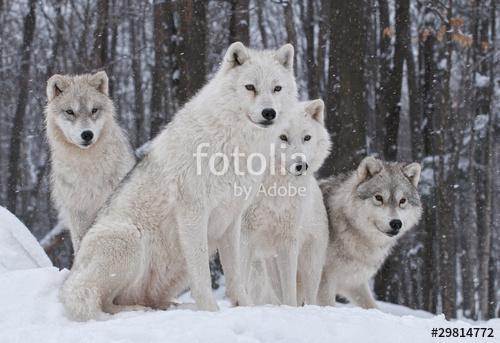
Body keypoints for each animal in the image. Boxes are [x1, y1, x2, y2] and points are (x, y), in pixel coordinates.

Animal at [60, 41, 298, 322]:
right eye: (250, 87)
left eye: (277, 88)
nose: (269, 113)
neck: (233, 143)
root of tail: (72, 276)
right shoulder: (193, 213)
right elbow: (203, 277)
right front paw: (211, 312)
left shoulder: (232, 219)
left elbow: (236, 275)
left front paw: (245, 307)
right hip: (129, 238)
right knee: (103, 301)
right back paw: (137, 311)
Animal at [243, 99, 332, 306]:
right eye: (282, 137)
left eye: (307, 137)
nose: (302, 166)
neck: (275, 188)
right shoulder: (244, 236)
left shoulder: (288, 241)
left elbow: (290, 291)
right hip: (267, 266)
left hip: (310, 265)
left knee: (308, 296)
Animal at [316, 157, 422, 310]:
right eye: (378, 198)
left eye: (402, 201)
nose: (396, 223)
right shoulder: (324, 280)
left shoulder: (353, 282)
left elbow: (372, 306)